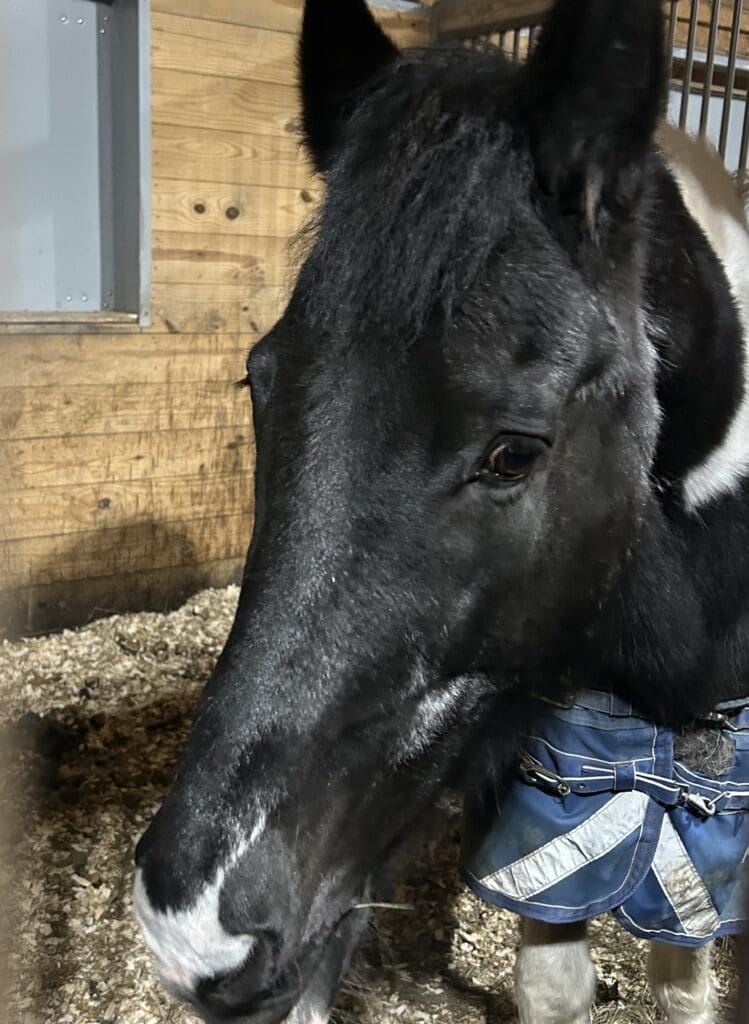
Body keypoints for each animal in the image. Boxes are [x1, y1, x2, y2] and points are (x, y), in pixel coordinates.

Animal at [133, 1, 749, 1022]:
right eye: (259, 382)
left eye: (515, 452)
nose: (195, 931)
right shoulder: (549, 812)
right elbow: (555, 984)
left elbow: (684, 980)